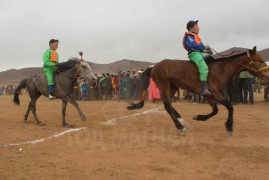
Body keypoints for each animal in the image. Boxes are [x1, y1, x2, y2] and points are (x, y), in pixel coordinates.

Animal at [127, 46, 268, 134]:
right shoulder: (215, 93)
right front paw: (229, 126)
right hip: (165, 85)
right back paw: (180, 125)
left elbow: (216, 110)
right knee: (167, 104)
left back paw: (179, 119)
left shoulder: (210, 95)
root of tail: (154, 66)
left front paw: (199, 117)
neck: (221, 69)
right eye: (261, 60)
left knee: (168, 104)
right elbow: (229, 106)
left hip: (172, 87)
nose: (267, 76)